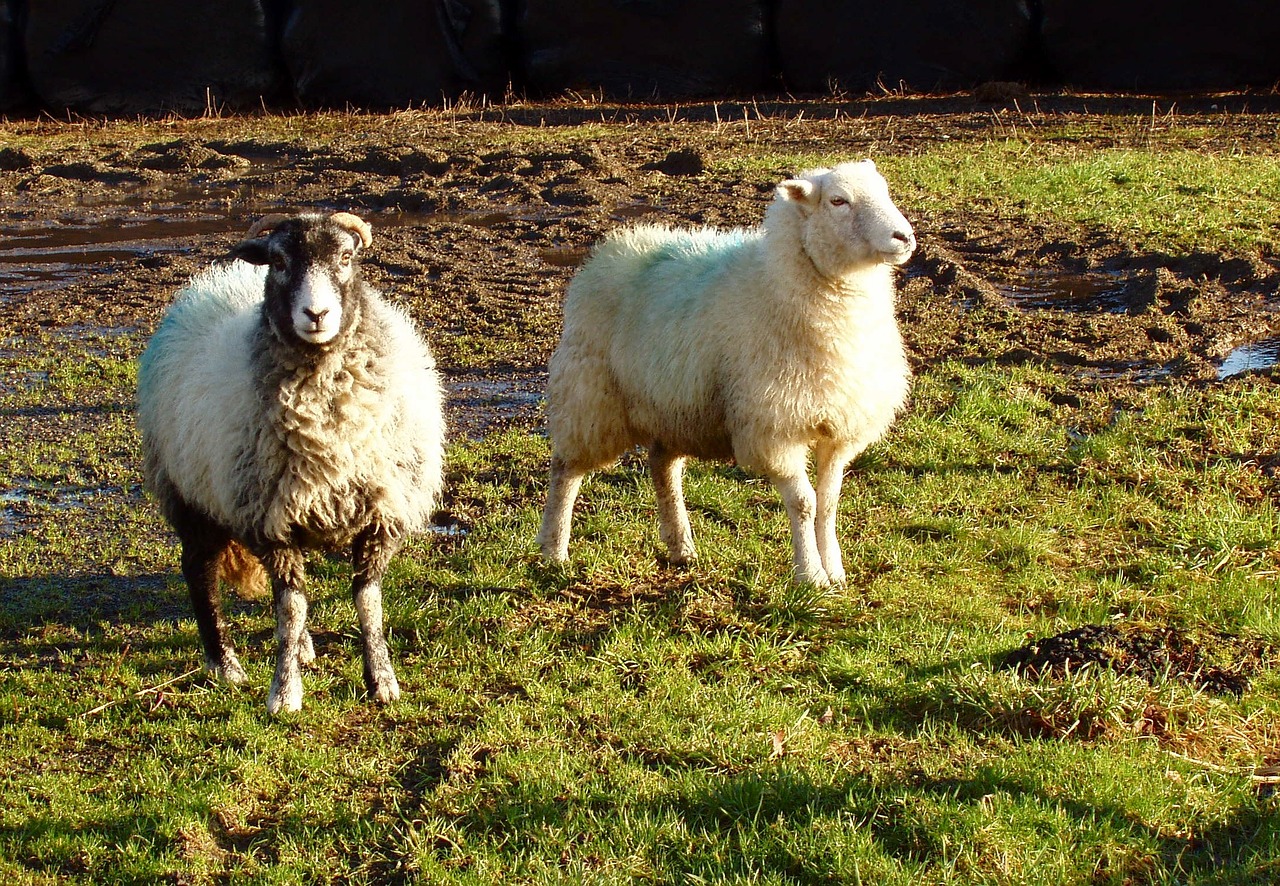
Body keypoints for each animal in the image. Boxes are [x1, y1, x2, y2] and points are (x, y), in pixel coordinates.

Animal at [138, 211, 448, 716]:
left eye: (347, 257)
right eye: (279, 261)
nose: (316, 315)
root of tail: (218, 281)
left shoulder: (380, 515)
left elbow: (367, 602)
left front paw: (381, 680)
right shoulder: (270, 519)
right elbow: (291, 607)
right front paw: (284, 692)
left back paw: (300, 647)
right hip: (190, 491)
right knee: (199, 570)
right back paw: (224, 664)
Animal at [535, 159, 916, 588]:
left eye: (884, 191)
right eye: (838, 201)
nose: (904, 237)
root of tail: (620, 245)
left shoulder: (839, 426)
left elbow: (829, 502)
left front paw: (834, 569)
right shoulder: (775, 428)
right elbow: (804, 503)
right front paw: (811, 575)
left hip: (674, 406)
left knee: (662, 466)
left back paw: (681, 546)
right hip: (590, 396)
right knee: (565, 471)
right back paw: (554, 550)